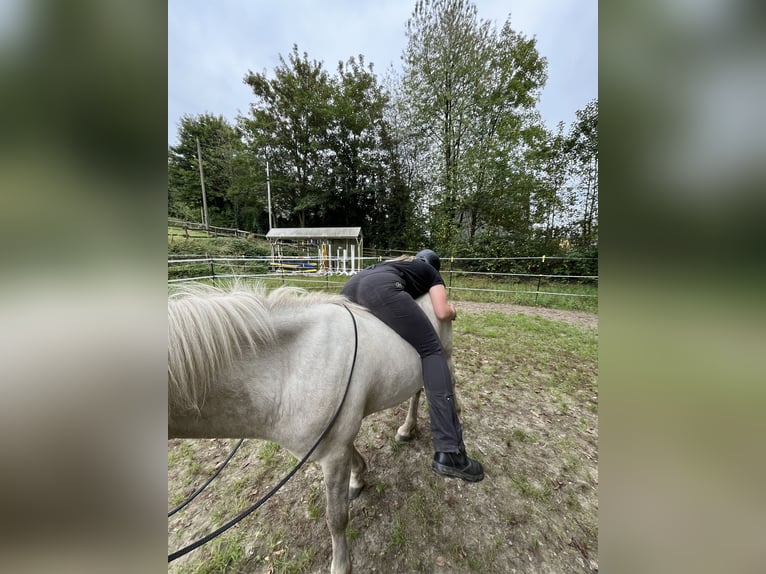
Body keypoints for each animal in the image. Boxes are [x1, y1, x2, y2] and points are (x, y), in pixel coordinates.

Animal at [168, 282, 452, 572]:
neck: (290, 367)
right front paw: (358, 478)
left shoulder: (333, 453)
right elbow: (353, 457)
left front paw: (341, 565)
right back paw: (407, 429)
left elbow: (336, 518)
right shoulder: (335, 442)